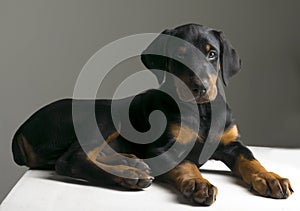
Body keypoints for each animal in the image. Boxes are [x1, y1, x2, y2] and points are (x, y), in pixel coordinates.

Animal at [12, 23, 292, 205]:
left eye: (212, 54)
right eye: (178, 56)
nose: (200, 88)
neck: (202, 112)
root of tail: (22, 129)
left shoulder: (232, 143)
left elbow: (250, 159)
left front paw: (271, 178)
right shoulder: (165, 146)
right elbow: (186, 163)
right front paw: (198, 183)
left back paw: (131, 161)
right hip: (103, 114)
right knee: (70, 159)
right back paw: (129, 176)